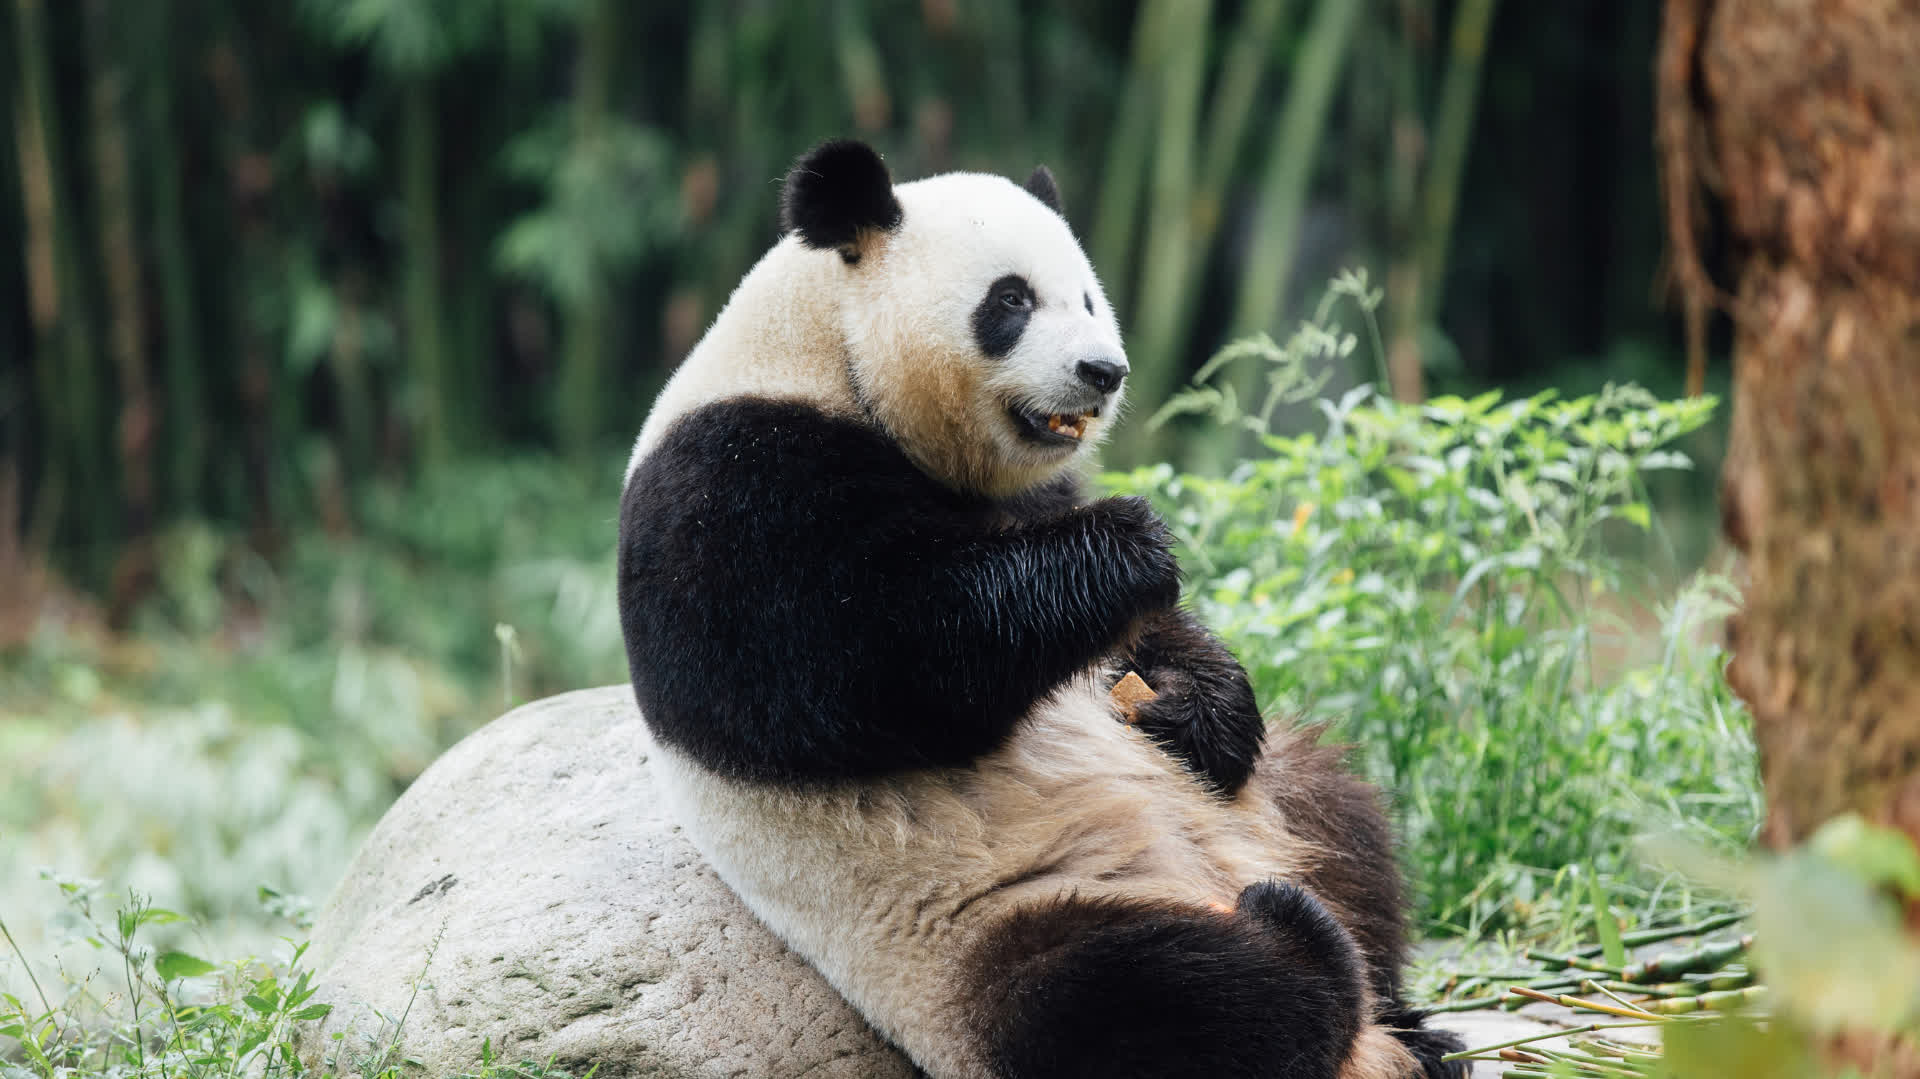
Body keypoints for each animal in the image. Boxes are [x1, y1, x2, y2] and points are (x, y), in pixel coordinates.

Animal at [622, 143, 1459, 1075]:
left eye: (1089, 296)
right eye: (1012, 300)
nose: (1105, 371)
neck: (827, 353)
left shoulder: (1030, 487)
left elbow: (1144, 644)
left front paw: (1199, 704)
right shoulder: (728, 488)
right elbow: (867, 664)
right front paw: (1130, 546)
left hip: (1273, 802)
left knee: (1347, 822)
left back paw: (1415, 1021)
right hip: (983, 927)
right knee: (1141, 998)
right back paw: (1295, 939)